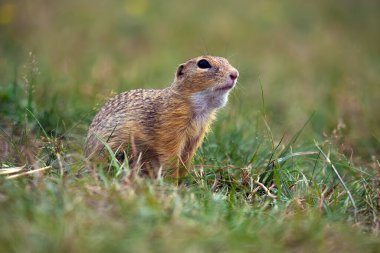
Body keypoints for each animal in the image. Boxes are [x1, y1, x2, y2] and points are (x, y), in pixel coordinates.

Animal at [86, 55, 238, 178]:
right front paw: (173, 184)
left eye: (226, 60)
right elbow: (170, 159)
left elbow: (185, 161)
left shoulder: (194, 139)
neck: (200, 109)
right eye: (203, 63)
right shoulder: (170, 132)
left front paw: (183, 180)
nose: (235, 74)